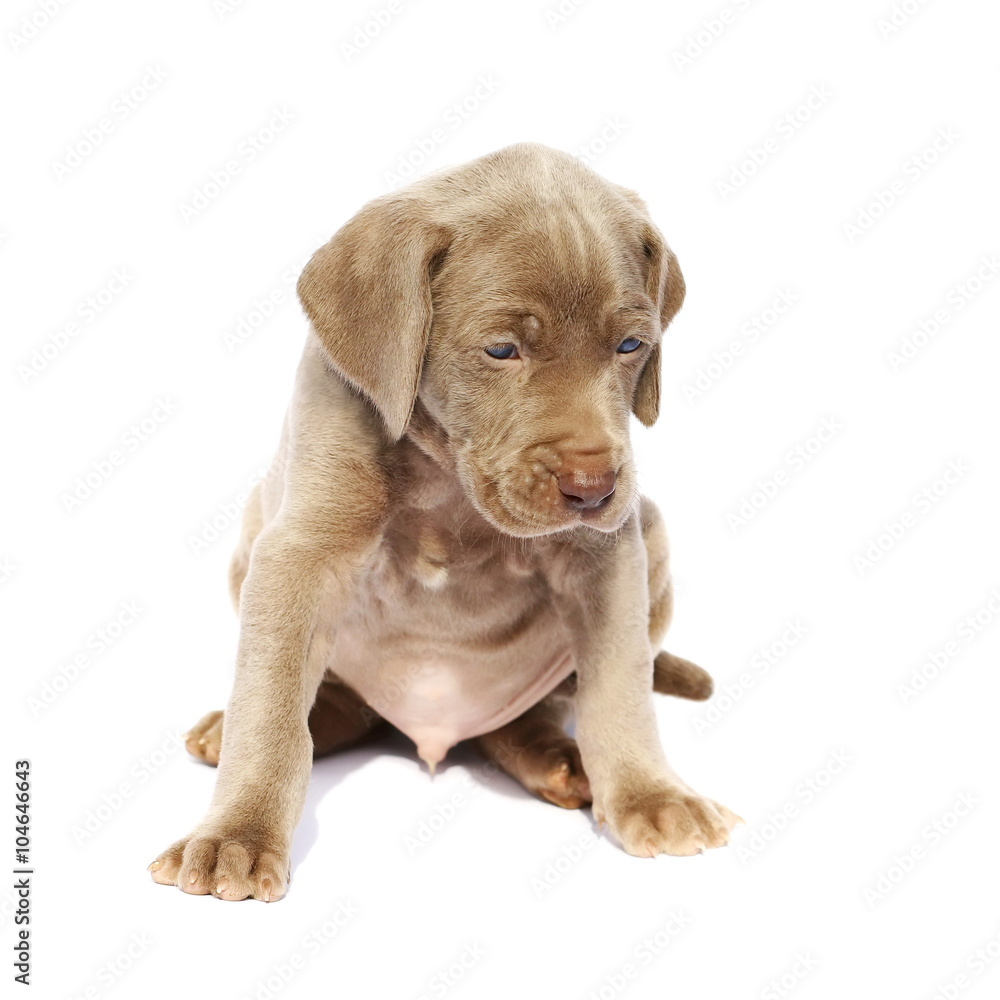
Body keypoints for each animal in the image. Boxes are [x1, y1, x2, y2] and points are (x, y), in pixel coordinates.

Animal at [150, 145, 744, 904]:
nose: (594, 488)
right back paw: (234, 729)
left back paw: (558, 760)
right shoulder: (300, 551)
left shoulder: (607, 558)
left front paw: (651, 796)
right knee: (328, 701)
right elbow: (272, 705)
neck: (447, 477)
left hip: (654, 533)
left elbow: (619, 686)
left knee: (542, 707)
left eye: (632, 344)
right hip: (253, 528)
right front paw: (239, 835)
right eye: (502, 351)